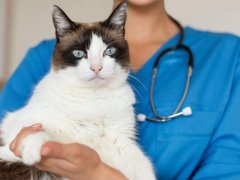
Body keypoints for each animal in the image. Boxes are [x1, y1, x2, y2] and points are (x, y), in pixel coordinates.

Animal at [0, 1, 156, 180]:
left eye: (109, 51)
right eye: (79, 53)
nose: (96, 68)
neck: (93, 99)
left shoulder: (122, 142)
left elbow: (143, 167)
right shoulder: (19, 131)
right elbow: (38, 131)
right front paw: (32, 149)